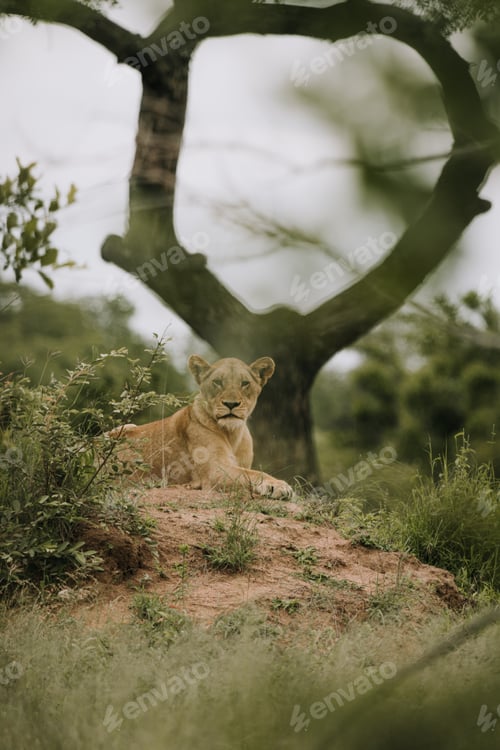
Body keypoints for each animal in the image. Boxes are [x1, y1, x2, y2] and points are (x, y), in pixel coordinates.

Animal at [110, 355, 294, 500]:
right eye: (217, 382)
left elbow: (249, 471)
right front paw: (278, 486)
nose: (231, 404)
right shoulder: (214, 471)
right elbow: (253, 473)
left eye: (245, 383)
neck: (233, 434)